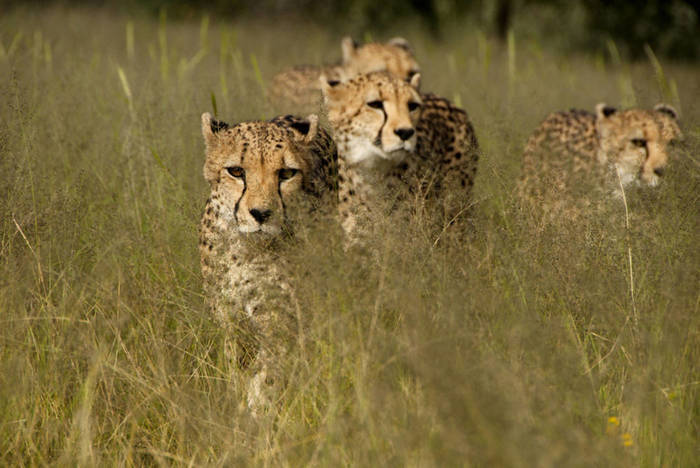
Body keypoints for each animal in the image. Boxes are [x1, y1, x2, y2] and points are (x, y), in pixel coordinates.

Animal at [198, 112, 337, 413]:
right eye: (236, 171)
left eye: (286, 173)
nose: (261, 213)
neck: (247, 249)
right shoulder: (230, 319)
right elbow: (238, 363)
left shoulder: (279, 316)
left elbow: (269, 370)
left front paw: (257, 409)